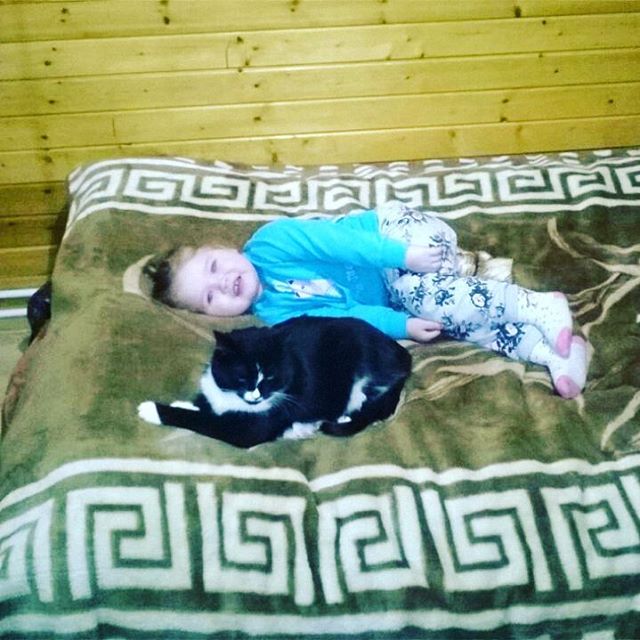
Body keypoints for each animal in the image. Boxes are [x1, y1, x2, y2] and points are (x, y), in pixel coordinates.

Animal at [137, 315, 412, 448]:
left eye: (270, 377)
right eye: (242, 377)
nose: (256, 395)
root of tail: (403, 354)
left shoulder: (248, 429)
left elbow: (203, 421)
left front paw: (151, 409)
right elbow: (203, 405)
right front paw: (186, 403)